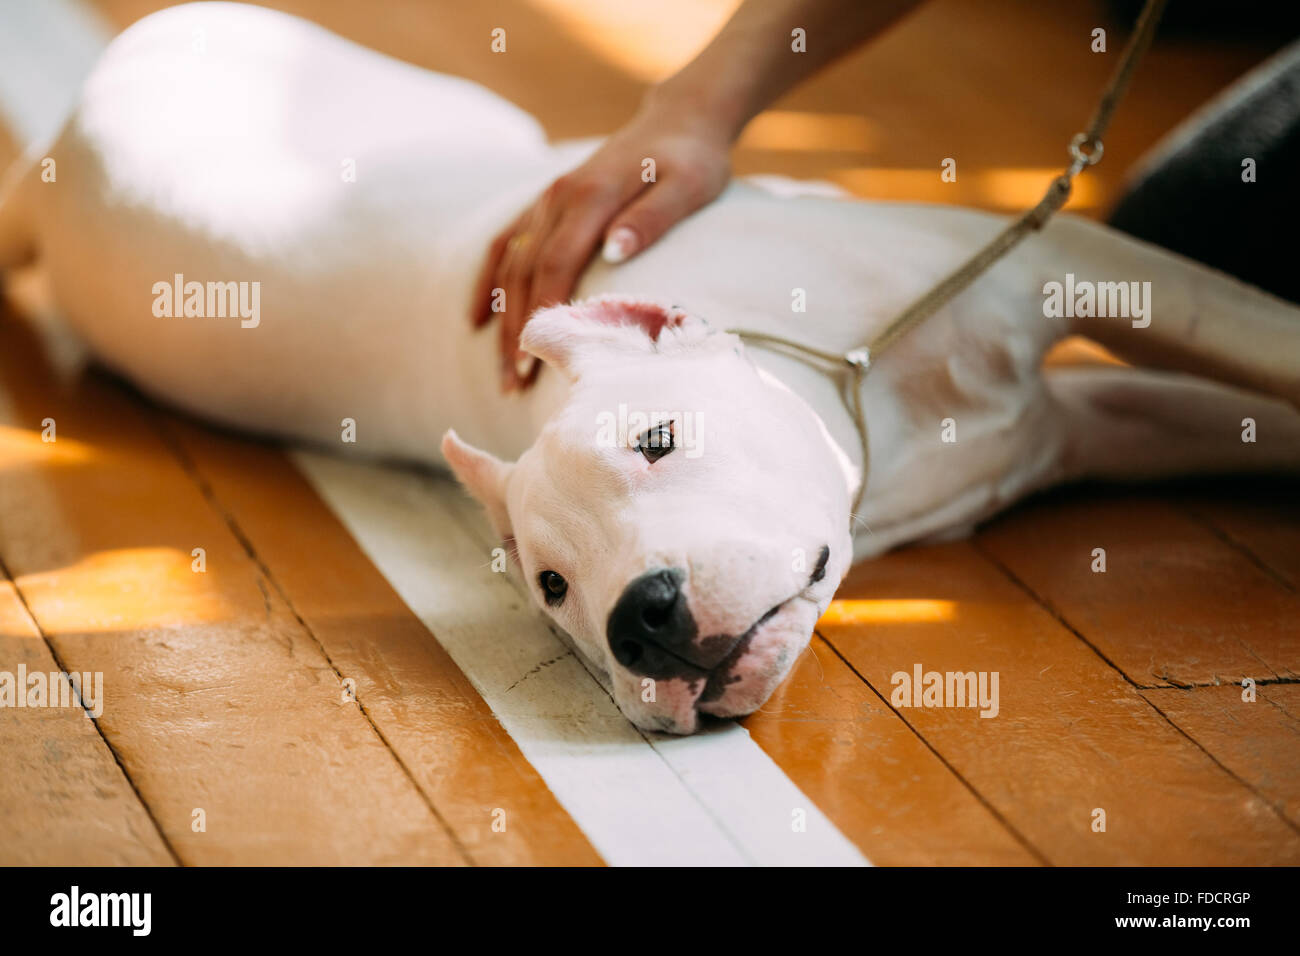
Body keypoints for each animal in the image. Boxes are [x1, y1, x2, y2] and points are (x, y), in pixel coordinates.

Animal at [7, 1, 1300, 733]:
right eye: (551, 588)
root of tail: (71, 124)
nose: (646, 620)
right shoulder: (1083, 419)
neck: (862, 399)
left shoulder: (1070, 275)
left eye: (658, 440)